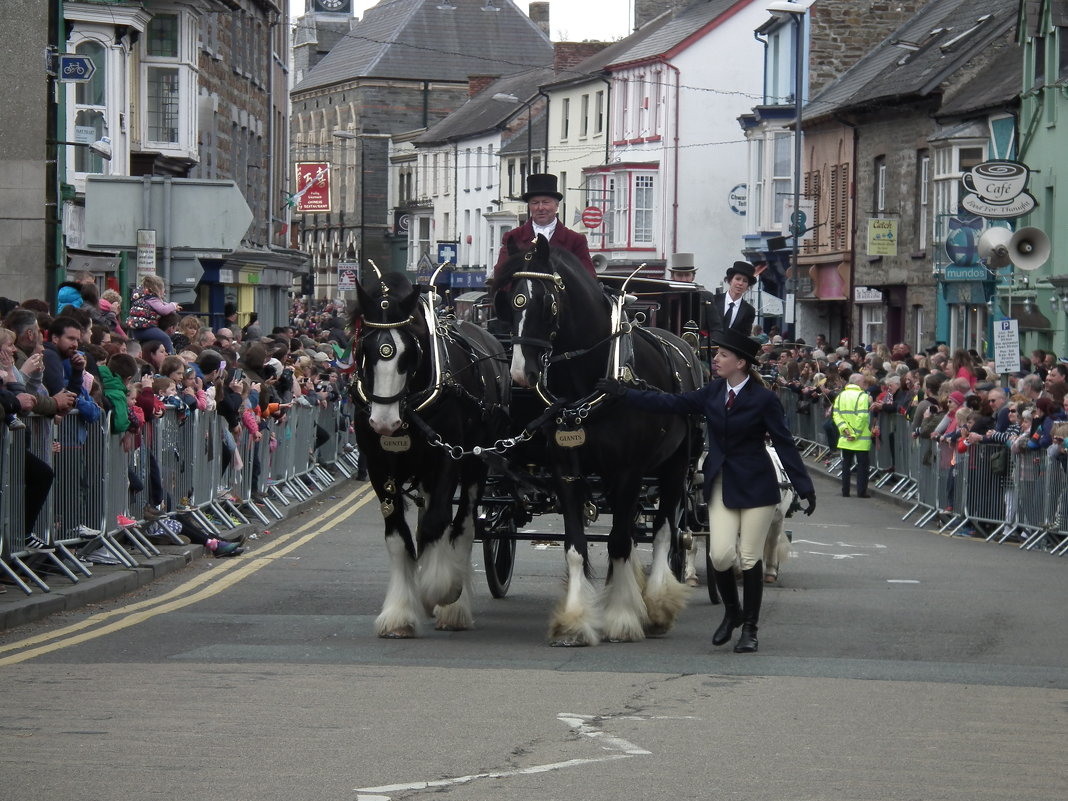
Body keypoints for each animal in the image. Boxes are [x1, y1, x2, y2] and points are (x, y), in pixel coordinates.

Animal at [352, 273, 510, 636]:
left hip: (477, 463)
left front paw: (438, 590)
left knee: (464, 524)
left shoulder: (448, 457)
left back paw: (454, 607)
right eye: (365, 348)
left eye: (410, 352)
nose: (384, 422)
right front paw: (399, 612)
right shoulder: (379, 468)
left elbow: (439, 522)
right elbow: (399, 535)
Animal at [491, 237, 700, 645]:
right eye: (509, 302)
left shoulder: (630, 471)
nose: (521, 374)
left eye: (545, 302)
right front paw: (574, 620)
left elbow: (621, 541)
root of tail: (682, 342)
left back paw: (657, 605)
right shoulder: (567, 470)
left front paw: (622, 618)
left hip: (675, 467)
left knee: (665, 530)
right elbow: (576, 545)